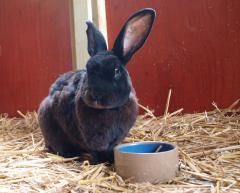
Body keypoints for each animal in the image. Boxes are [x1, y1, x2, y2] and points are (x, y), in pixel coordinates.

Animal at [38, 8, 156, 164]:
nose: (96, 95)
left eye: (116, 70)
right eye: (88, 69)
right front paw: (104, 161)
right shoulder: (93, 140)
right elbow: (98, 151)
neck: (108, 110)